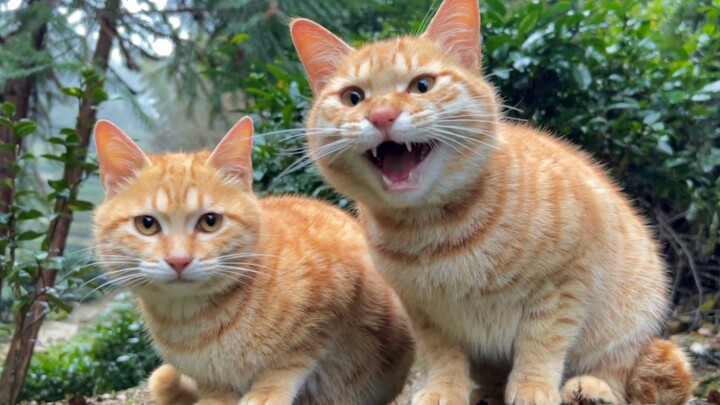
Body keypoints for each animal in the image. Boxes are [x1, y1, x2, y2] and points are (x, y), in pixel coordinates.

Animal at [92, 115, 414, 402]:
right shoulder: (208, 380)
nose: (179, 260)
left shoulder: (331, 305)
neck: (197, 325)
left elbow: (287, 361)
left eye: (210, 221)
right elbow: (215, 394)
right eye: (147, 224)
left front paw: (263, 394)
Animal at [290, 0, 696, 404]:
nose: (382, 115)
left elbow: (542, 340)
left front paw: (533, 387)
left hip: (632, 319)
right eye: (353, 97)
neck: (434, 232)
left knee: (617, 369)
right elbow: (443, 353)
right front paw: (444, 389)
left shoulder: (564, 282)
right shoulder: (426, 313)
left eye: (422, 85)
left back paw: (591, 387)